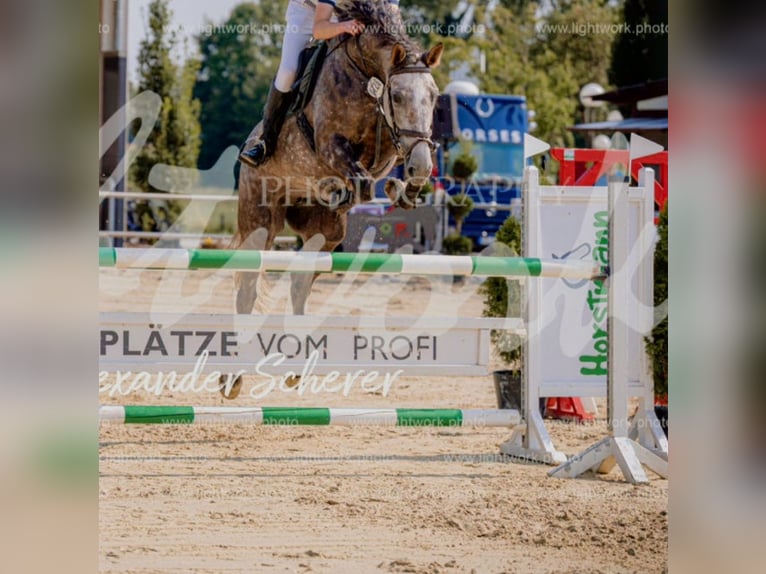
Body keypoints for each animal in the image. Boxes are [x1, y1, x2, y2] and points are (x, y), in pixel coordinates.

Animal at [234, 0, 444, 316]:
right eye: (396, 96)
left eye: (433, 96)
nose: (420, 162)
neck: (367, 74)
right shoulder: (330, 145)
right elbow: (364, 185)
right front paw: (347, 193)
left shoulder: (392, 150)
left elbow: (382, 176)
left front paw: (402, 190)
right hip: (259, 220)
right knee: (248, 288)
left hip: (326, 232)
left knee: (300, 282)